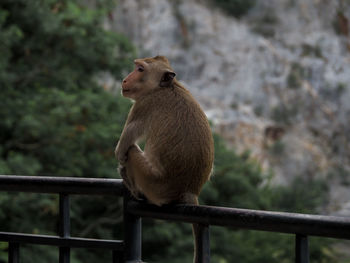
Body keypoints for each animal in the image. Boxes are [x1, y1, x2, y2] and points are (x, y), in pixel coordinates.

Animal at [115, 55, 213, 262]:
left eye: (140, 69)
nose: (125, 80)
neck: (165, 87)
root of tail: (189, 191)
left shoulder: (143, 105)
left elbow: (122, 147)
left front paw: (120, 163)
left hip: (152, 181)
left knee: (132, 152)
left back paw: (135, 189)